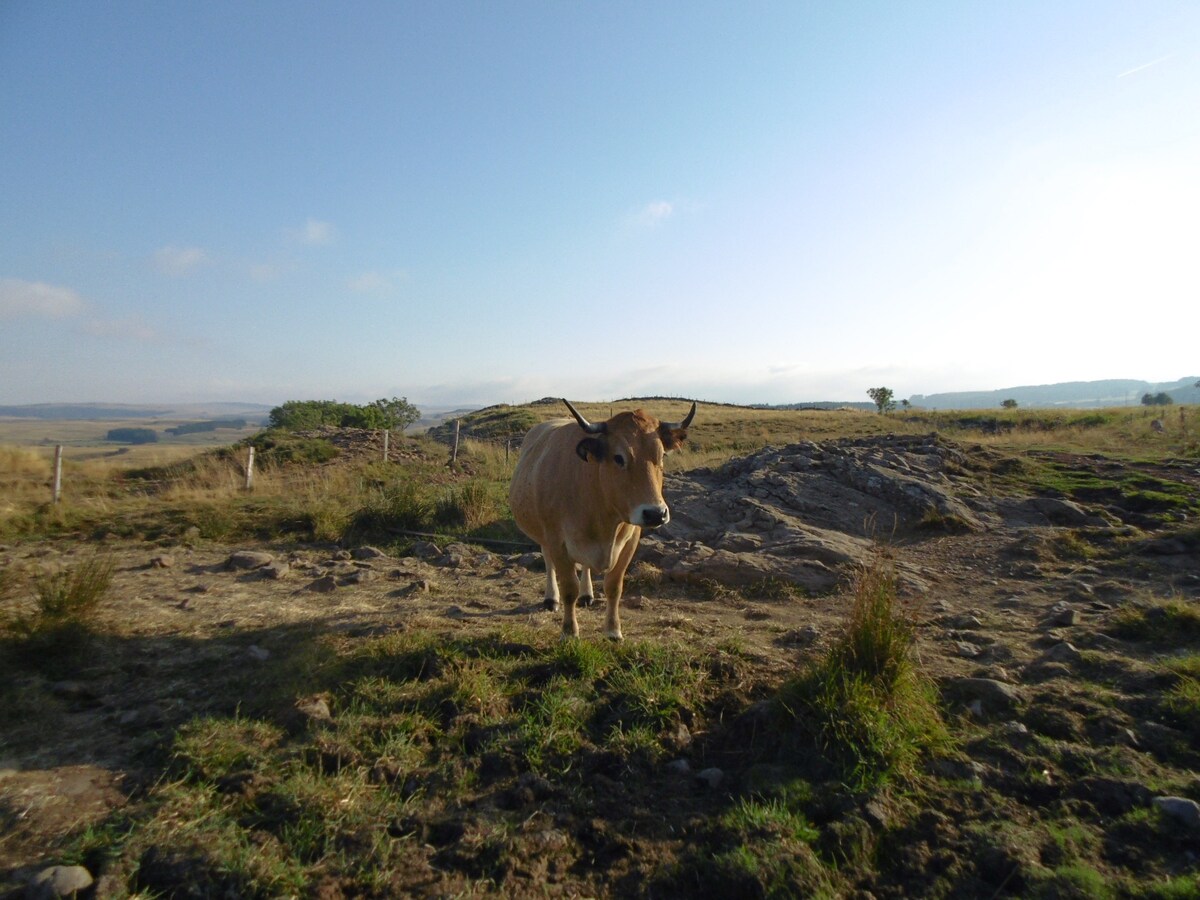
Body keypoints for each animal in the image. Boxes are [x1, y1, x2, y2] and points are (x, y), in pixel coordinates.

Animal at [506, 400, 696, 643]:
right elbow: (569, 588)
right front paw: (569, 632)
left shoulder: (630, 540)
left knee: (586, 566)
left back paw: (587, 594)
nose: (655, 513)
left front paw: (613, 631)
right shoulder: (557, 541)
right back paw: (551, 598)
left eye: (661, 456)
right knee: (548, 562)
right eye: (619, 457)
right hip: (543, 535)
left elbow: (614, 587)